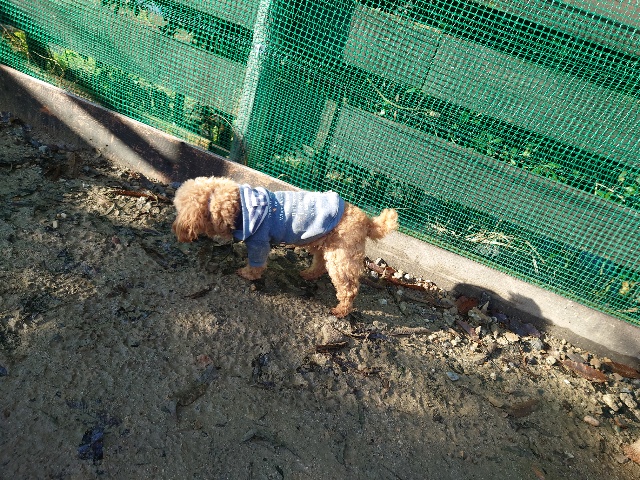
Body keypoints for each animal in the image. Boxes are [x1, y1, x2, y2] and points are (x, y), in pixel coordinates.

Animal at [172, 176, 398, 317]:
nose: (176, 229)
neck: (240, 208)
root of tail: (368, 221)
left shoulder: (259, 242)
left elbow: (256, 265)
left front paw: (246, 274)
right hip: (323, 242)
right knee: (320, 263)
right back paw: (308, 274)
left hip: (341, 257)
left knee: (348, 287)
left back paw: (341, 310)